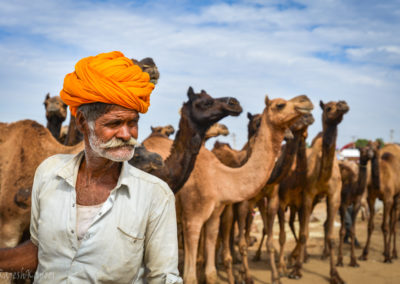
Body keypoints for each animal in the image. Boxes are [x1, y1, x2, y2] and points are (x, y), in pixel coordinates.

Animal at [177, 95, 314, 284]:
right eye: (280, 105)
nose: (306, 100)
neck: (219, 175)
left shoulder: (216, 215)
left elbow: (211, 271)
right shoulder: (193, 217)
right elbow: (190, 276)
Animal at [286, 100, 348, 284]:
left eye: (341, 103)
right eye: (328, 108)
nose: (343, 105)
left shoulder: (334, 196)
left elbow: (330, 236)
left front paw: (335, 274)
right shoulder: (307, 194)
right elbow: (304, 233)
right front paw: (296, 270)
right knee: (300, 225)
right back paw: (299, 257)